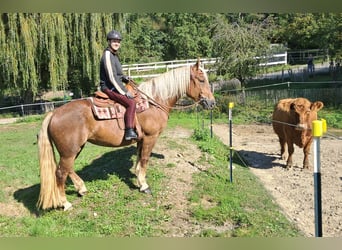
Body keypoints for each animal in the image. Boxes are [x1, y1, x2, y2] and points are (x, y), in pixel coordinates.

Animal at [36, 59, 214, 210]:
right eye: (201, 80)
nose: (212, 103)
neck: (153, 102)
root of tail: (54, 113)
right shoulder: (150, 137)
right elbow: (144, 160)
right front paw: (144, 186)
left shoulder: (141, 139)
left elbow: (139, 160)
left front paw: (139, 180)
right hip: (69, 151)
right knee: (60, 173)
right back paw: (65, 203)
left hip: (74, 149)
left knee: (68, 169)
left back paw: (81, 188)